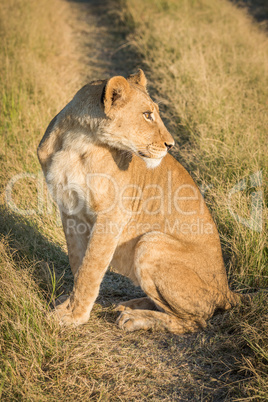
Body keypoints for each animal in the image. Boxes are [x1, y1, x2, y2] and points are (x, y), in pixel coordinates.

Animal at [37, 70, 243, 334]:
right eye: (147, 115)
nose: (171, 145)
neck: (77, 142)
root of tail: (227, 290)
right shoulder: (69, 209)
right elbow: (77, 262)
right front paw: (68, 306)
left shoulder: (112, 215)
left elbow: (90, 268)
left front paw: (74, 316)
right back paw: (129, 305)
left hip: (150, 241)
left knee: (197, 320)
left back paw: (134, 318)